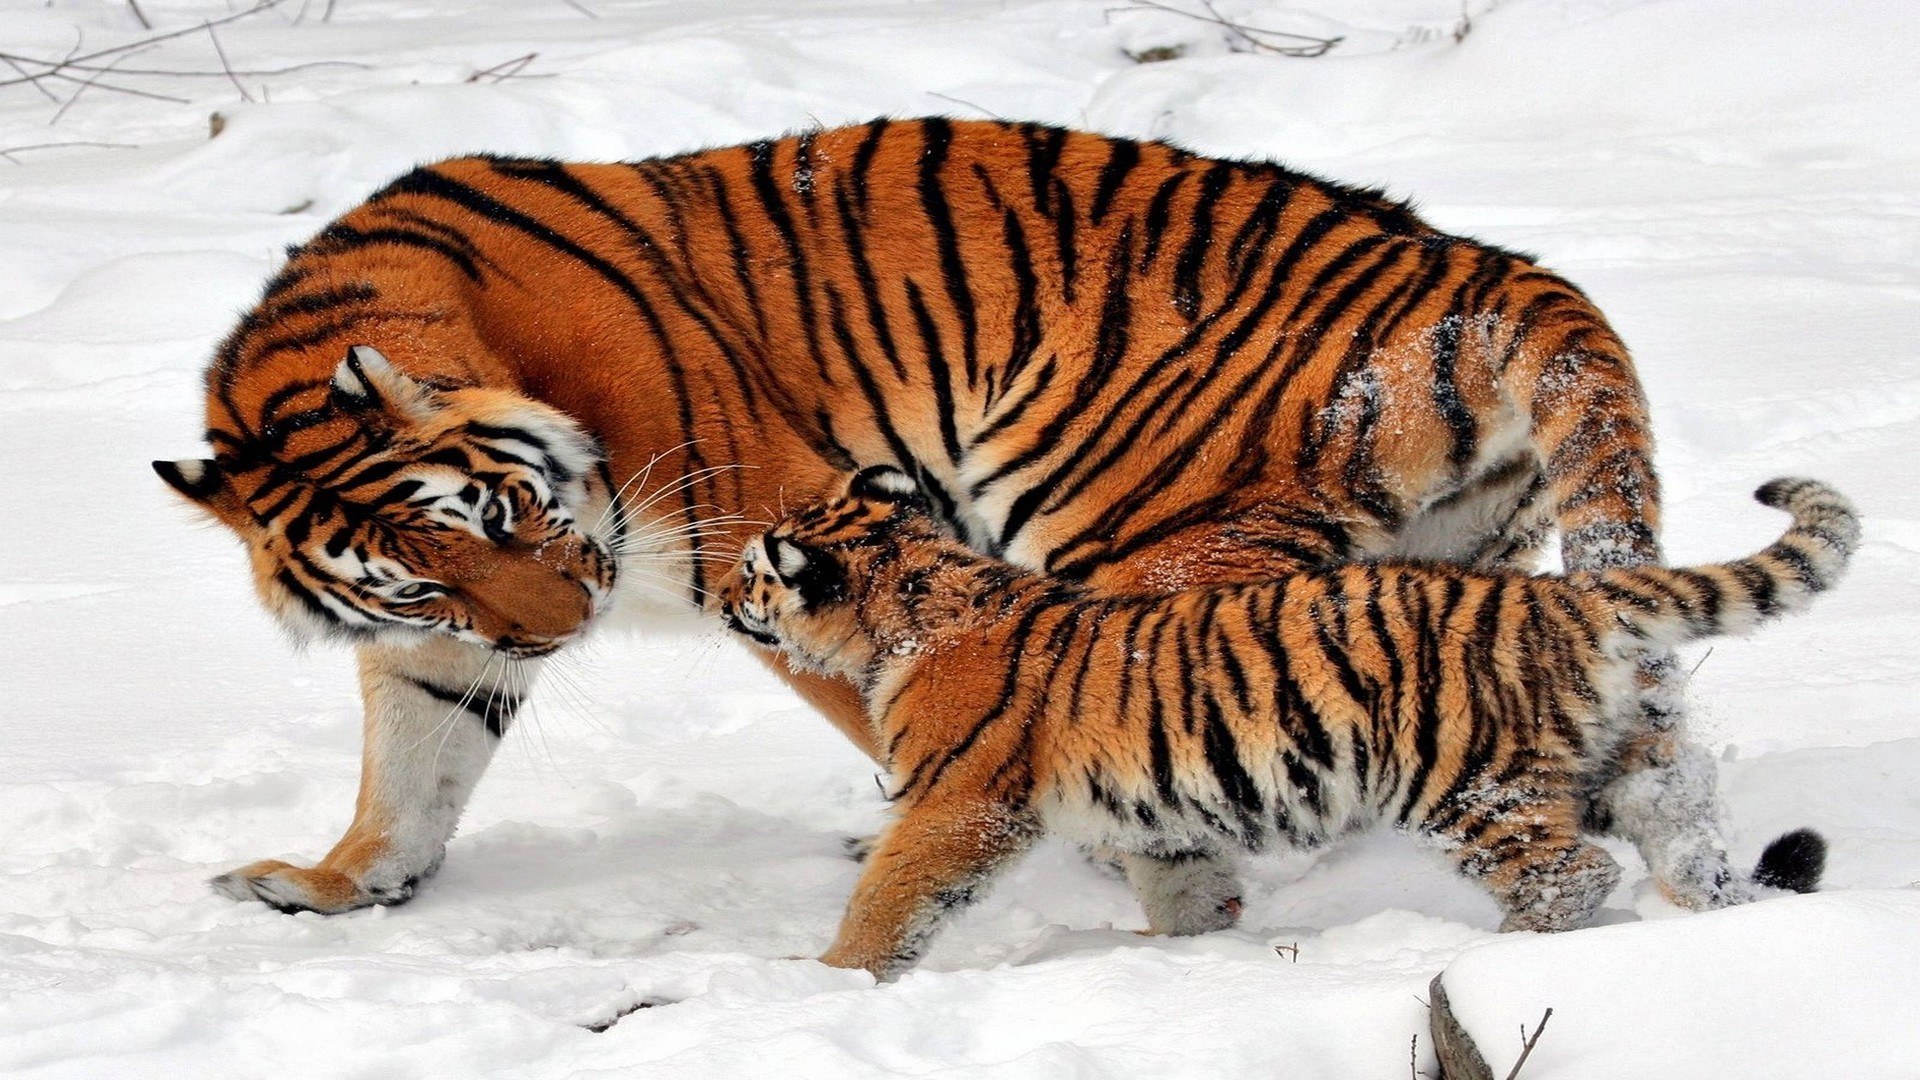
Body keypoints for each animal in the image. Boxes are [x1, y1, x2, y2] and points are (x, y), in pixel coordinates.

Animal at [160, 117, 1730, 922]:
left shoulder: (766, 525)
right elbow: (413, 759)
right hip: (1447, 566)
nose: (565, 628)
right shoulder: (447, 645)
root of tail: (1488, 268)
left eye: (496, 506)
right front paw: (336, 883)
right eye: (416, 582)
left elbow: (902, 706)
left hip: (1152, 541)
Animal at [720, 466, 1853, 980]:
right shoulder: (1160, 813)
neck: (916, 595)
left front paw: (829, 979)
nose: (725, 594)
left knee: (1568, 874)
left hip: (1469, 782)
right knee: (1682, 822)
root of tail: (1559, 596)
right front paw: (1181, 952)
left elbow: (891, 898)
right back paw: (1721, 909)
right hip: (1611, 763)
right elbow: (1183, 886)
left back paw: (1497, 956)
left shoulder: (956, 803)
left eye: (756, 573)